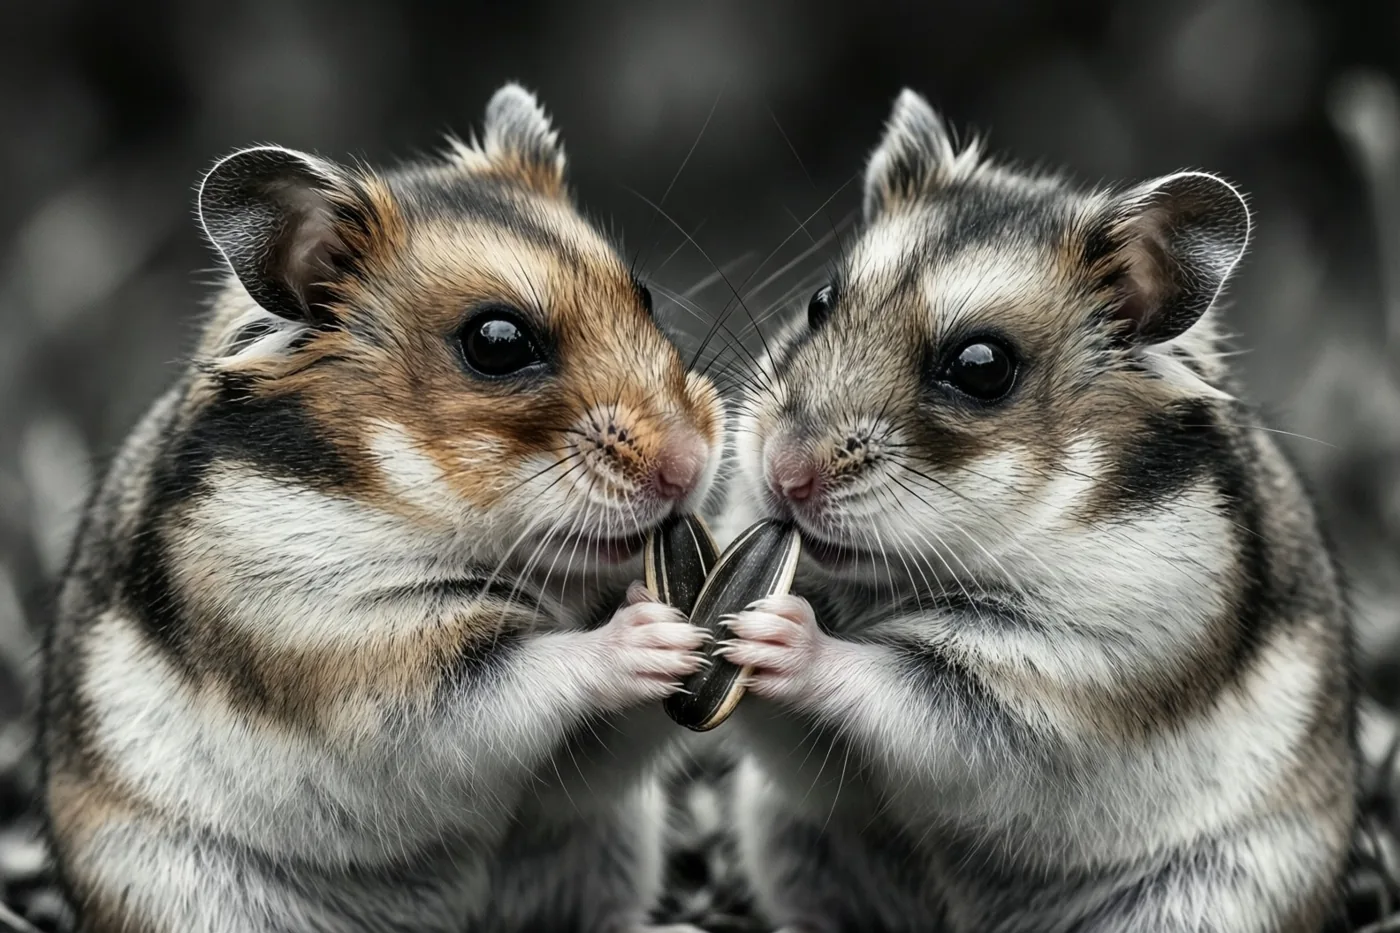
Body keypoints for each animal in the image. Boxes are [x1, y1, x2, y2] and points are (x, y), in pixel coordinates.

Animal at [40, 83, 724, 933]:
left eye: (645, 295)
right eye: (496, 342)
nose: (692, 465)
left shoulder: (582, 775)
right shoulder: (355, 654)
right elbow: (527, 676)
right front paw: (648, 630)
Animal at [716, 89, 1356, 933]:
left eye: (982, 367)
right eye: (821, 303)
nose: (782, 474)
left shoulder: (1060, 682)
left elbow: (894, 687)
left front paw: (780, 630)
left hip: (1211, 897)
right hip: (788, 838)